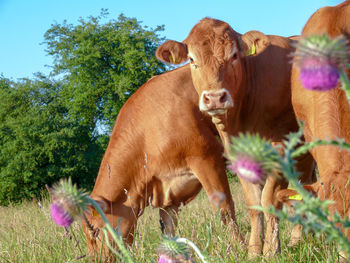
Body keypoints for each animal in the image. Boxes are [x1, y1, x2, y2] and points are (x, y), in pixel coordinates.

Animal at [81, 64, 243, 262]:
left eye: (95, 231)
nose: (95, 260)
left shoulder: (208, 158)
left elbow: (224, 210)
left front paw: (239, 249)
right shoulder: (167, 191)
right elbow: (169, 231)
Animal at [156, 17, 314, 256]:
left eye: (234, 56)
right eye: (192, 59)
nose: (214, 98)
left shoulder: (280, 148)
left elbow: (269, 200)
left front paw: (270, 251)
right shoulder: (238, 155)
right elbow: (253, 204)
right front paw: (254, 251)